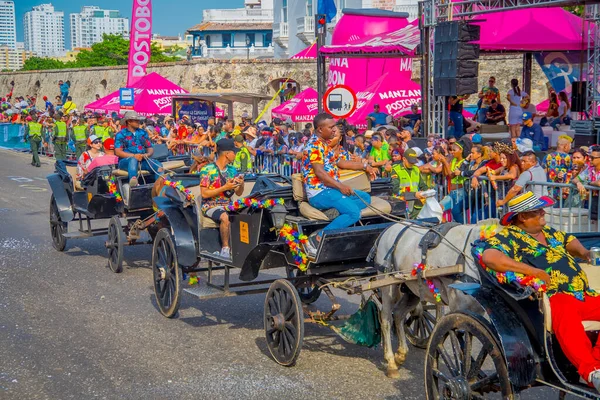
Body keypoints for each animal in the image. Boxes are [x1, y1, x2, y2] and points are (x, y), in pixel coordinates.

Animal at [372, 219, 500, 378]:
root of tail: (389, 228)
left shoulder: (478, 309)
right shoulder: (458, 306)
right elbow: (461, 341)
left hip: (412, 289)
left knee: (398, 314)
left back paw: (400, 354)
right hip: (387, 284)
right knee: (385, 318)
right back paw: (390, 362)